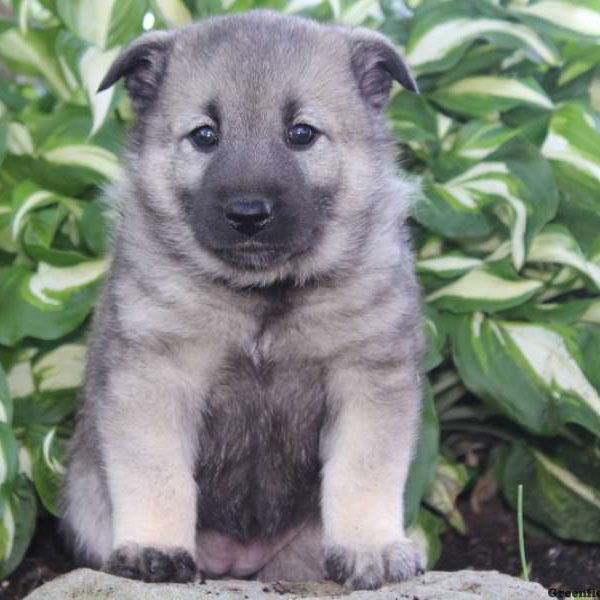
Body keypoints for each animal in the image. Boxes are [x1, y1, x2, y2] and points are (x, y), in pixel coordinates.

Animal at [59, 8, 426, 592]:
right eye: (205, 135)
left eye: (301, 134)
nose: (248, 213)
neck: (263, 295)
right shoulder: (154, 375)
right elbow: (156, 471)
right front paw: (154, 546)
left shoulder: (369, 374)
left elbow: (364, 470)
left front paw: (371, 547)